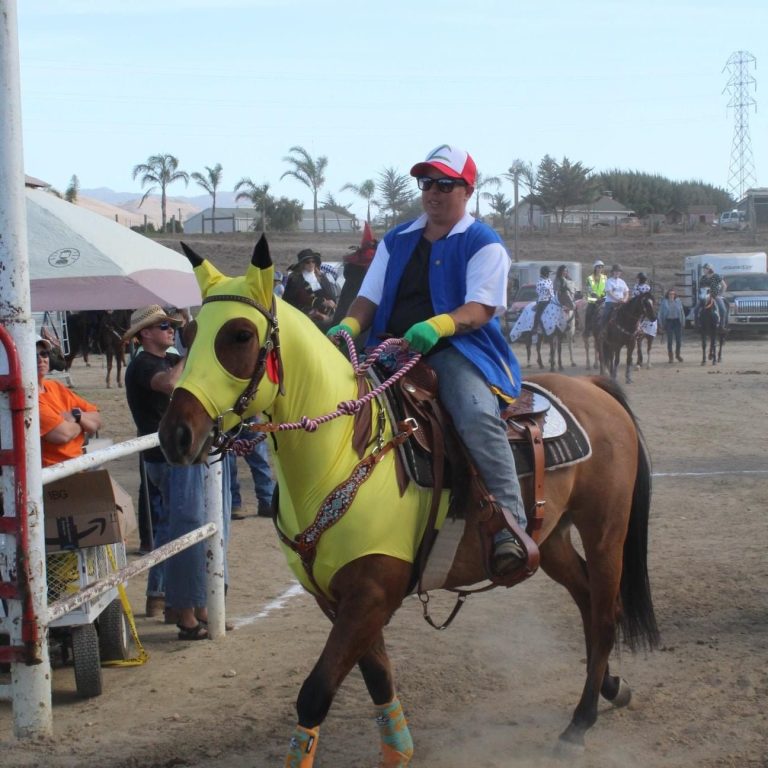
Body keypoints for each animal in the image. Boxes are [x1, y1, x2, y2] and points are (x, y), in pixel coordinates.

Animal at [158, 236, 659, 765]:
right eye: (188, 332)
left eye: (238, 335)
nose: (175, 435)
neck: (341, 453)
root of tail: (592, 388)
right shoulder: (338, 599)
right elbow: (377, 676)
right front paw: (398, 749)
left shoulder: (372, 591)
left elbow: (316, 692)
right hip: (553, 537)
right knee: (587, 600)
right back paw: (611, 688)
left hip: (605, 531)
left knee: (604, 613)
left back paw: (580, 722)